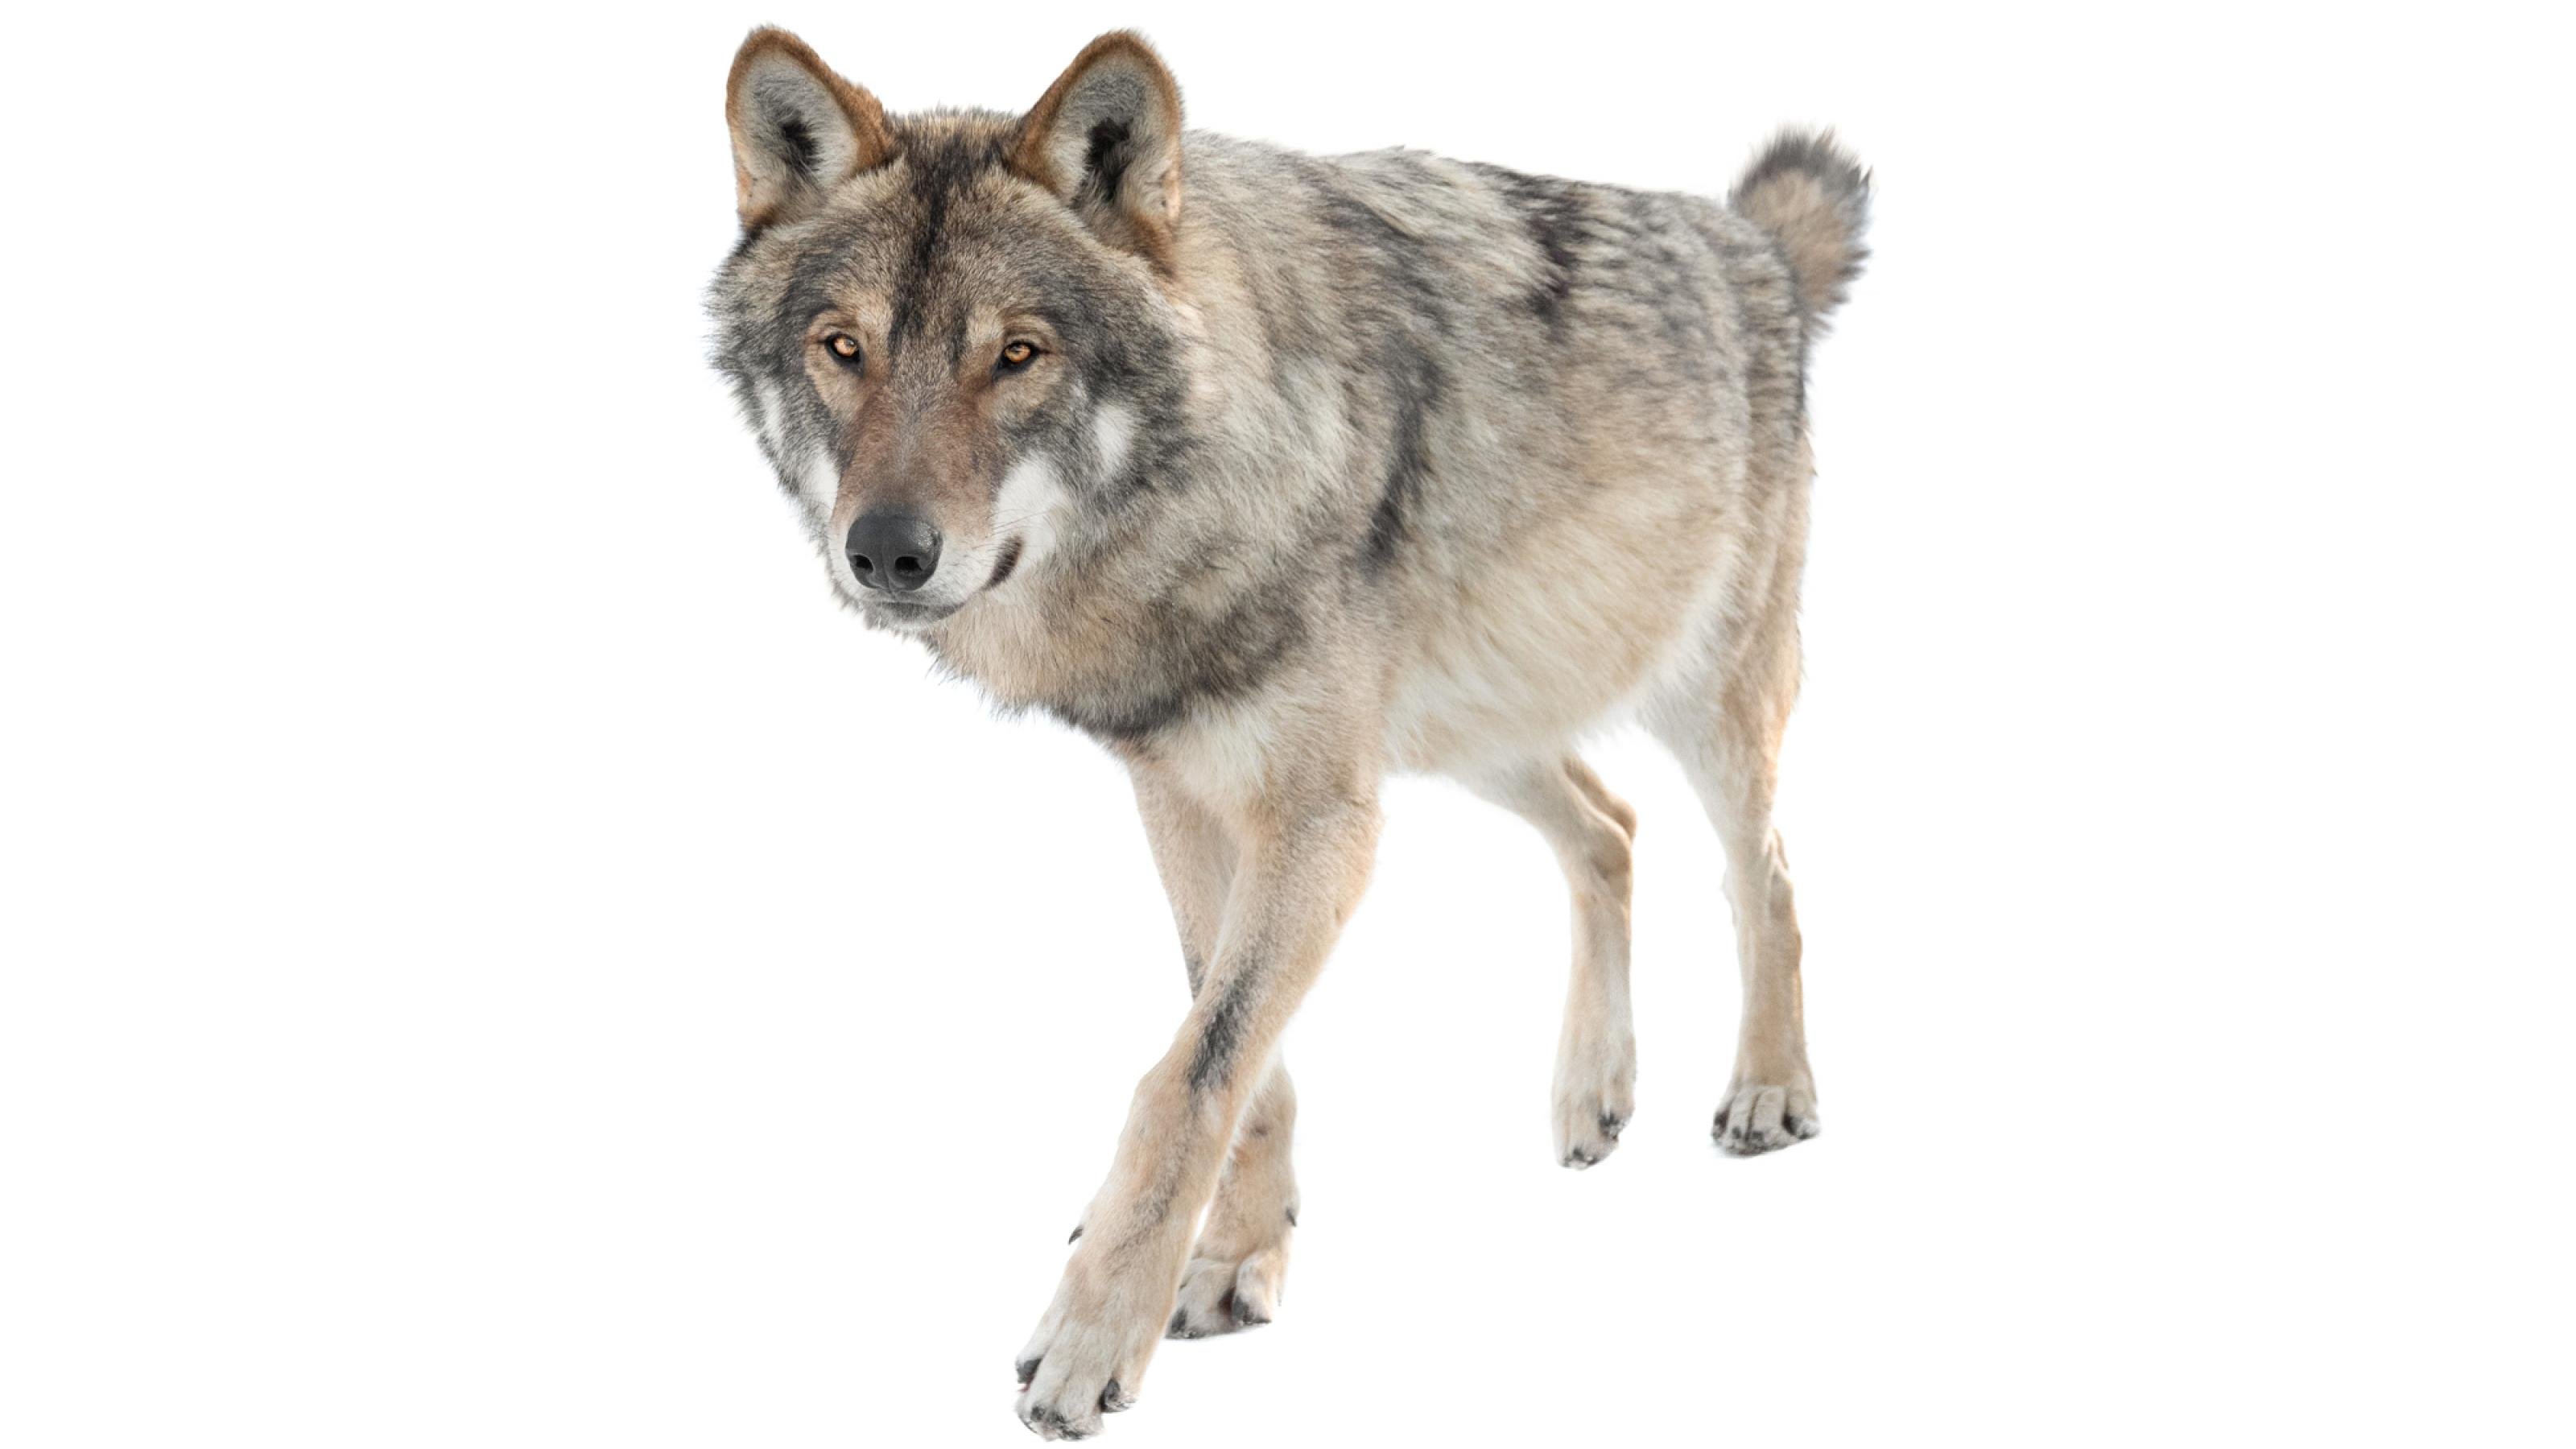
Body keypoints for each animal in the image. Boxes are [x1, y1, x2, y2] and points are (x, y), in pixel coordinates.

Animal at [708, 26, 1869, 1439]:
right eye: (844, 347)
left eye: (1019, 354)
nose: (884, 551)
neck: (1197, 487)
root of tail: (1749, 242)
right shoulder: (1187, 795)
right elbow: (1233, 1051)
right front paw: (1231, 1258)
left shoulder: (1318, 820)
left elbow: (1188, 1075)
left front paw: (1091, 1339)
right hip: (1468, 733)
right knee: (1610, 827)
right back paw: (1592, 1090)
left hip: (1699, 702)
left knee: (1765, 874)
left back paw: (1768, 1088)